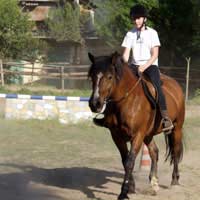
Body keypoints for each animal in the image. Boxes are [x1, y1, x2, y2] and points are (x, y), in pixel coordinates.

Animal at [87, 52, 184, 200]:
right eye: (92, 76)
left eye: (109, 77)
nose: (95, 103)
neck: (127, 100)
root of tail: (176, 85)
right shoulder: (116, 135)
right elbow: (125, 160)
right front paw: (131, 188)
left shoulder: (137, 135)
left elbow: (130, 162)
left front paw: (123, 192)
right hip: (148, 134)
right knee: (154, 152)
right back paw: (154, 183)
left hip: (177, 128)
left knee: (176, 151)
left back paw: (175, 180)